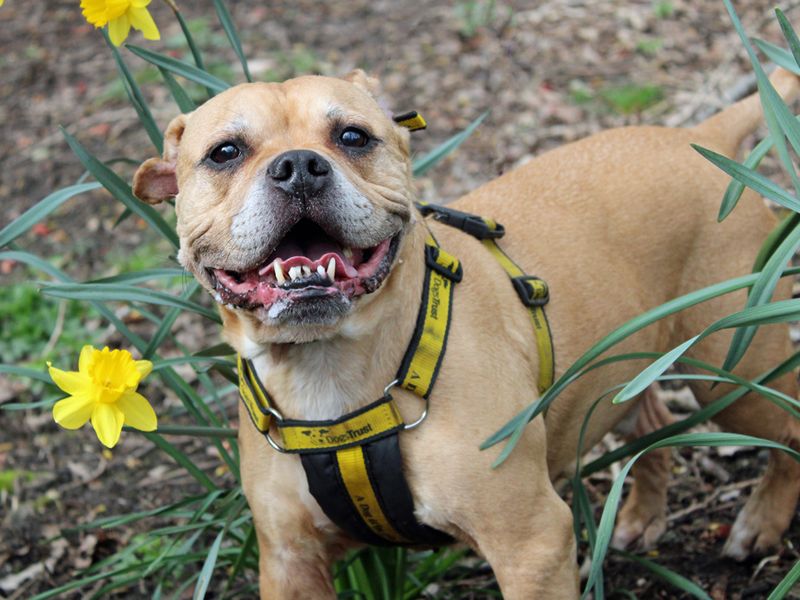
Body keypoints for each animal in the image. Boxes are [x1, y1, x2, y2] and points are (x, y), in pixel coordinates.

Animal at [131, 68, 800, 596]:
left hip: (731, 374)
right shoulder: (291, 563)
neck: (332, 372)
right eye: (224, 153)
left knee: (787, 433)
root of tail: (701, 139)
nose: (298, 167)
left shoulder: (531, 544)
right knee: (654, 422)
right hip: (632, 369)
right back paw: (640, 515)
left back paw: (762, 524)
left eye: (353, 137)